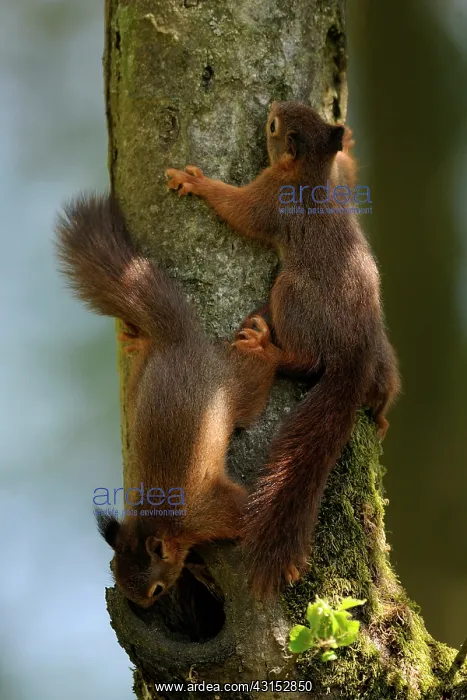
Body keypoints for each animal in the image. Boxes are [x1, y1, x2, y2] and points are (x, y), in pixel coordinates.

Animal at [55, 193, 280, 607]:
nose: (145, 606)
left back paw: (261, 345)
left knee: (256, 375)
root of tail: (179, 339)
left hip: (236, 386)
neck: (153, 522)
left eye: (156, 588)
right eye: (114, 570)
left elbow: (243, 515)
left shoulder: (210, 514)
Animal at [166, 100, 401, 597]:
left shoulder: (272, 198)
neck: (311, 174)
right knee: (381, 389)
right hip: (380, 356)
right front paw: (349, 144)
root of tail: (354, 355)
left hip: (291, 295)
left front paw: (197, 183)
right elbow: (348, 173)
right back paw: (380, 412)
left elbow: (240, 210)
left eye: (274, 127)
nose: (272, 106)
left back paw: (268, 348)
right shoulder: (337, 185)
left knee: (307, 360)